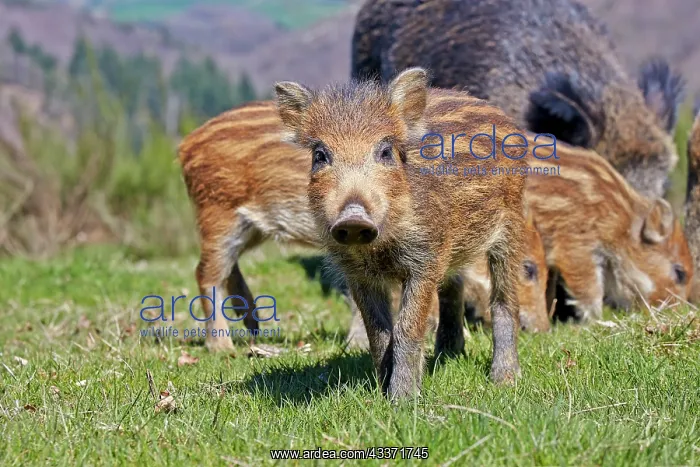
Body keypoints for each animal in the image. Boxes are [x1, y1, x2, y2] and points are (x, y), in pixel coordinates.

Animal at [178, 99, 550, 353]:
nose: (546, 330)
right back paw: (223, 348)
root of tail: (185, 145)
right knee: (206, 272)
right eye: (529, 269)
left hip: (251, 228)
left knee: (229, 269)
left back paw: (256, 329)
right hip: (219, 214)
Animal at [274, 68, 529, 398]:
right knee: (453, 288)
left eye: (385, 152)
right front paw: (384, 393)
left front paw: (403, 399)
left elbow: (408, 327)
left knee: (505, 300)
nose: (353, 218)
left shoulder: (425, 259)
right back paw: (448, 355)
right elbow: (379, 333)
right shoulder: (357, 273)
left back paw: (505, 379)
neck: (383, 246)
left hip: (511, 225)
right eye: (320, 155)